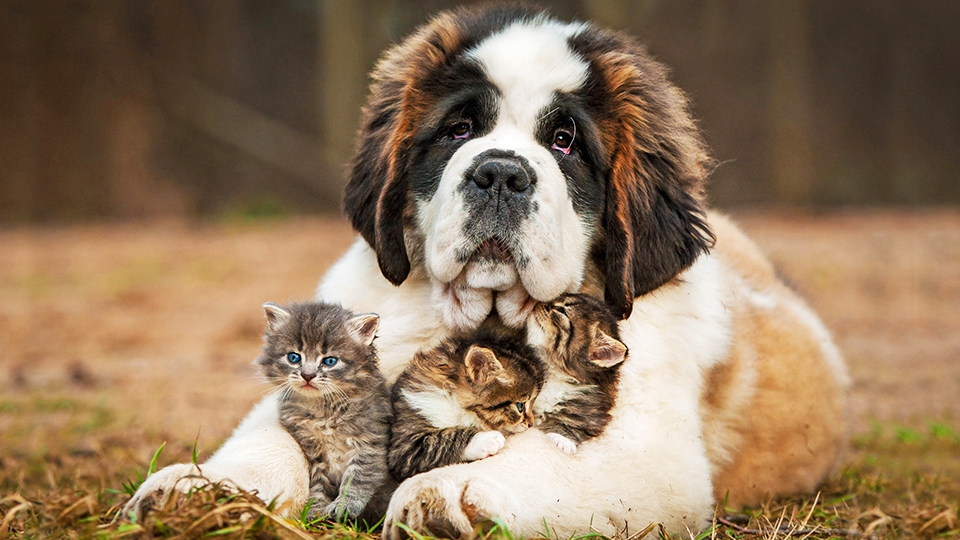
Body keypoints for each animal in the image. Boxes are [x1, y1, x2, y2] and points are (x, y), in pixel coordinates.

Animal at [256, 302, 392, 520]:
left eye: (329, 361)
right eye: (293, 357)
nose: (307, 375)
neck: (323, 409)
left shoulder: (369, 442)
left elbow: (358, 477)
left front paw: (345, 505)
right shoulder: (313, 452)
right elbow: (318, 484)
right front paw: (315, 510)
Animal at [386, 330, 544, 480]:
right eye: (520, 406)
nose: (531, 423)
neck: (454, 402)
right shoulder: (405, 448)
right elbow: (443, 439)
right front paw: (485, 440)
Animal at [524, 294, 632, 454]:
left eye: (561, 310)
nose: (539, 303)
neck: (554, 373)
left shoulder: (592, 410)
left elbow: (574, 422)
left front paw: (561, 440)